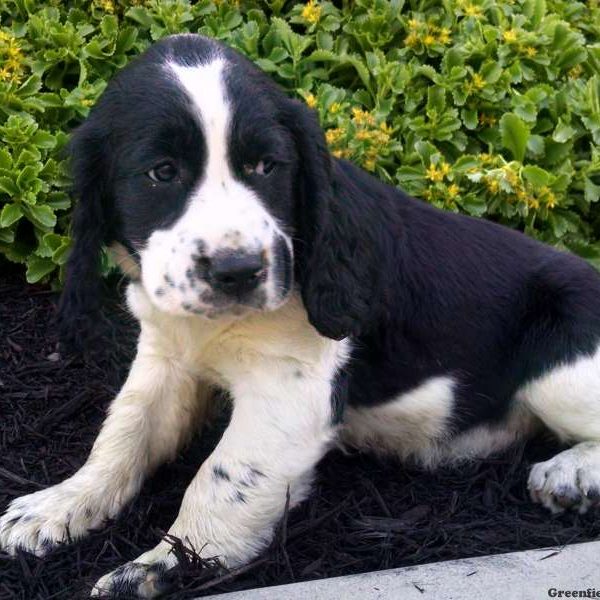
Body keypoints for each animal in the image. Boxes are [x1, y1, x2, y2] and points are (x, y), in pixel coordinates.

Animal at [1, 35, 600, 596]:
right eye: (162, 172)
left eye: (266, 166)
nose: (239, 270)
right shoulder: (166, 355)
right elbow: (124, 432)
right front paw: (56, 507)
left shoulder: (290, 387)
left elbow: (220, 477)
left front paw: (159, 568)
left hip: (560, 357)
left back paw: (569, 473)